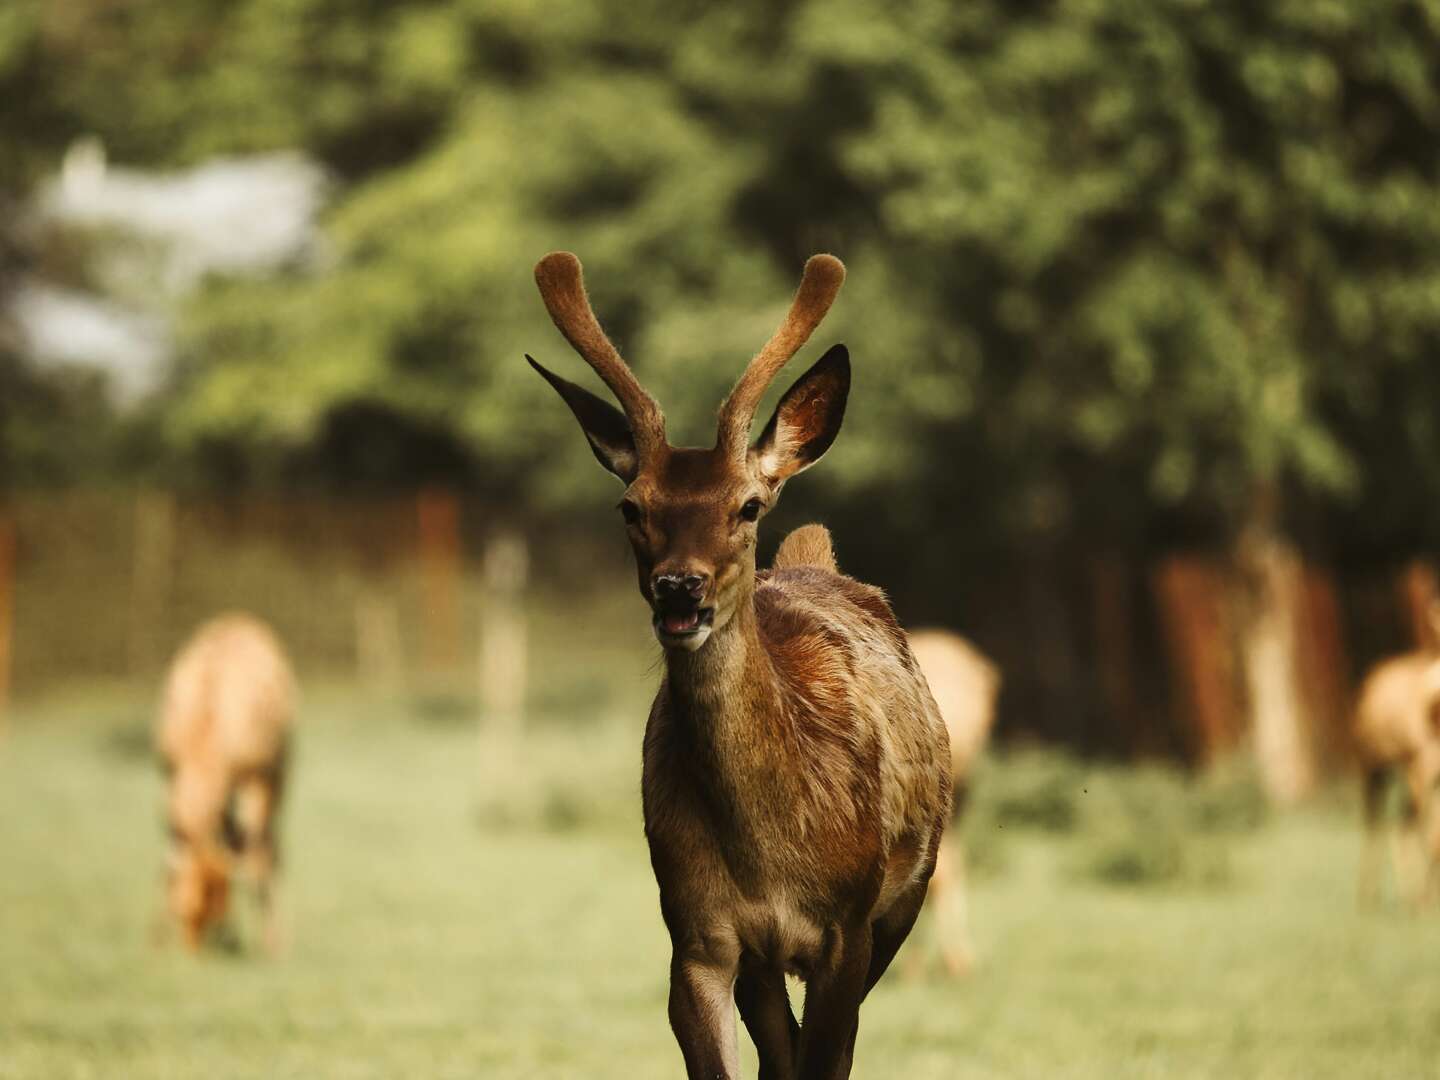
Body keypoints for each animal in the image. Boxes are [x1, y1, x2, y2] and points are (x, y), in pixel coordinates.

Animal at [155, 613, 295, 950]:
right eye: (182, 911)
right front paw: (156, 941)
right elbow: (169, 854)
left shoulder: (255, 777)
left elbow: (254, 858)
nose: (192, 950)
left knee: (270, 847)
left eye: (216, 907)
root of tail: (239, 617)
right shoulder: (169, 772)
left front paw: (269, 947)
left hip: (280, 769)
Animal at [532, 256, 956, 1080]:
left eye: (748, 505)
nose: (679, 587)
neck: (770, 858)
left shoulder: (848, 928)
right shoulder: (696, 932)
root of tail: (816, 557)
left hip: (907, 892)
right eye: (631, 507)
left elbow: (826, 1056)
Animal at [1347, 604, 1440, 910]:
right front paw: (1426, 903)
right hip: (1373, 770)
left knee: (1400, 824)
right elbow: (1432, 838)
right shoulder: (1422, 769)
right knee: (1376, 824)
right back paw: (1369, 899)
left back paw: (1408, 897)